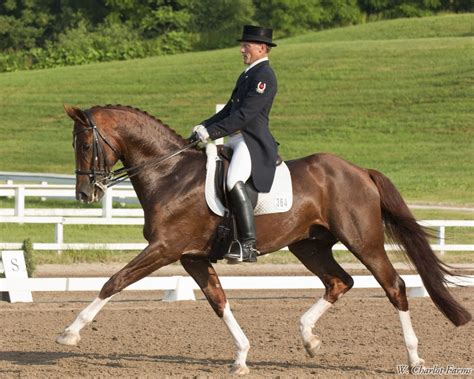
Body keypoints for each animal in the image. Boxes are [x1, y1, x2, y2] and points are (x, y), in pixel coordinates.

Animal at [57, 104, 468, 378]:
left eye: (84, 144)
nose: (84, 195)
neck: (170, 174)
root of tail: (358, 170)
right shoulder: (192, 257)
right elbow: (219, 301)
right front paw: (241, 357)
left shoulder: (165, 249)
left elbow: (115, 282)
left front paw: (69, 333)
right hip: (308, 244)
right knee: (339, 282)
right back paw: (309, 339)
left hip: (362, 240)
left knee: (393, 285)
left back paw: (414, 359)